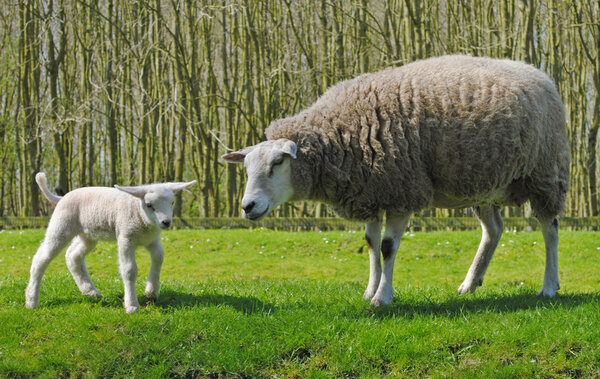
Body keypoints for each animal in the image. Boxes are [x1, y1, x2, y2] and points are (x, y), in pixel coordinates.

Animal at [25, 173, 196, 314]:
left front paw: (151, 291)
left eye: (172, 202)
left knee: (73, 256)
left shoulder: (153, 240)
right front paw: (132, 305)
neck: (142, 217)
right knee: (41, 259)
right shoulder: (126, 237)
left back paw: (90, 291)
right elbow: (129, 270)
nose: (166, 222)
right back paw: (32, 300)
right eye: (149, 205)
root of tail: (59, 198)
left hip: (87, 234)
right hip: (61, 226)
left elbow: (159, 258)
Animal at [223, 55, 568, 308]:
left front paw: (382, 297)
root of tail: (538, 73)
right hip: (480, 183)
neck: (341, 137)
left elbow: (388, 247)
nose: (248, 206)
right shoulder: (371, 191)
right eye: (247, 168)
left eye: (278, 162)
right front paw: (370, 290)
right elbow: (371, 244)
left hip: (545, 174)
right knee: (494, 230)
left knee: (550, 229)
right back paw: (470, 284)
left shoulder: (402, 190)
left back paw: (549, 287)